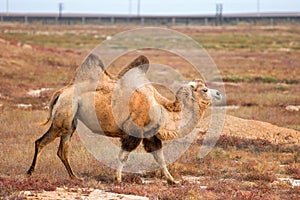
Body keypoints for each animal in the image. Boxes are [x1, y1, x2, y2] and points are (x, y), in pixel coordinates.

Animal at [27, 53, 221, 184]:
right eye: (204, 89)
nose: (218, 93)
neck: (161, 109)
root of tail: (61, 92)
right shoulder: (134, 132)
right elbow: (123, 156)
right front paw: (118, 179)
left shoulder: (151, 135)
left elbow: (160, 157)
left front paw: (172, 180)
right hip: (64, 115)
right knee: (41, 142)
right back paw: (30, 172)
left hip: (71, 121)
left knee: (62, 149)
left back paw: (75, 177)